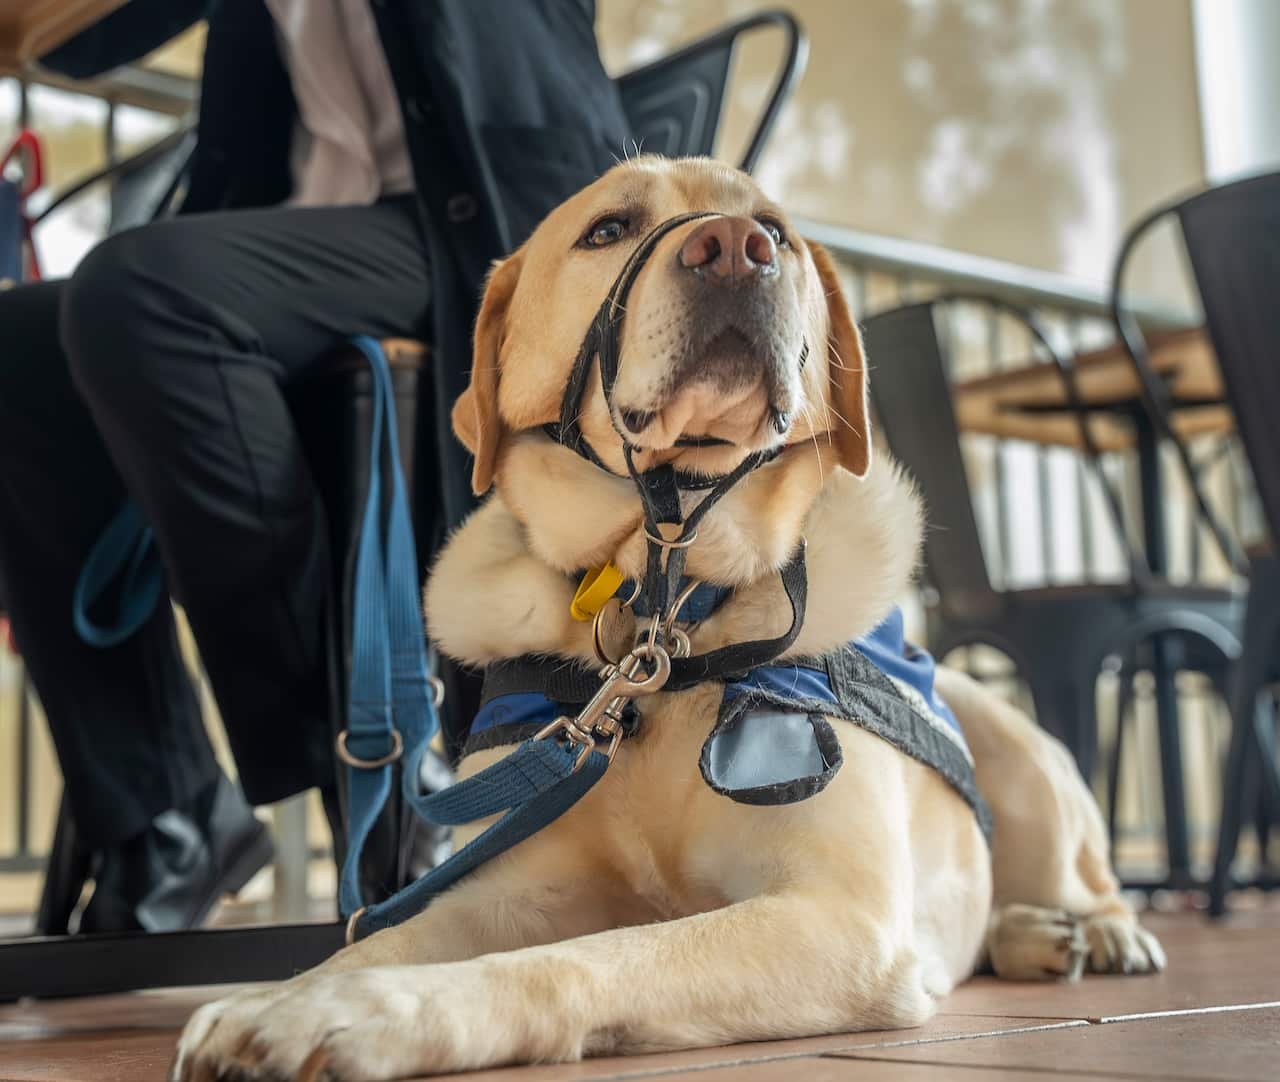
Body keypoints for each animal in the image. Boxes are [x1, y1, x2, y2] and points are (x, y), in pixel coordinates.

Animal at [175, 154, 1167, 1080]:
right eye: (608, 229)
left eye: (777, 229)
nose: (736, 247)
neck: (661, 614)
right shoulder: (504, 885)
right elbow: (380, 937)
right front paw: (284, 998)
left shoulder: (838, 915)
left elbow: (589, 956)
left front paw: (356, 1015)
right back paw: (1033, 937)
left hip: (1022, 752)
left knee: (1083, 874)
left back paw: (1094, 931)